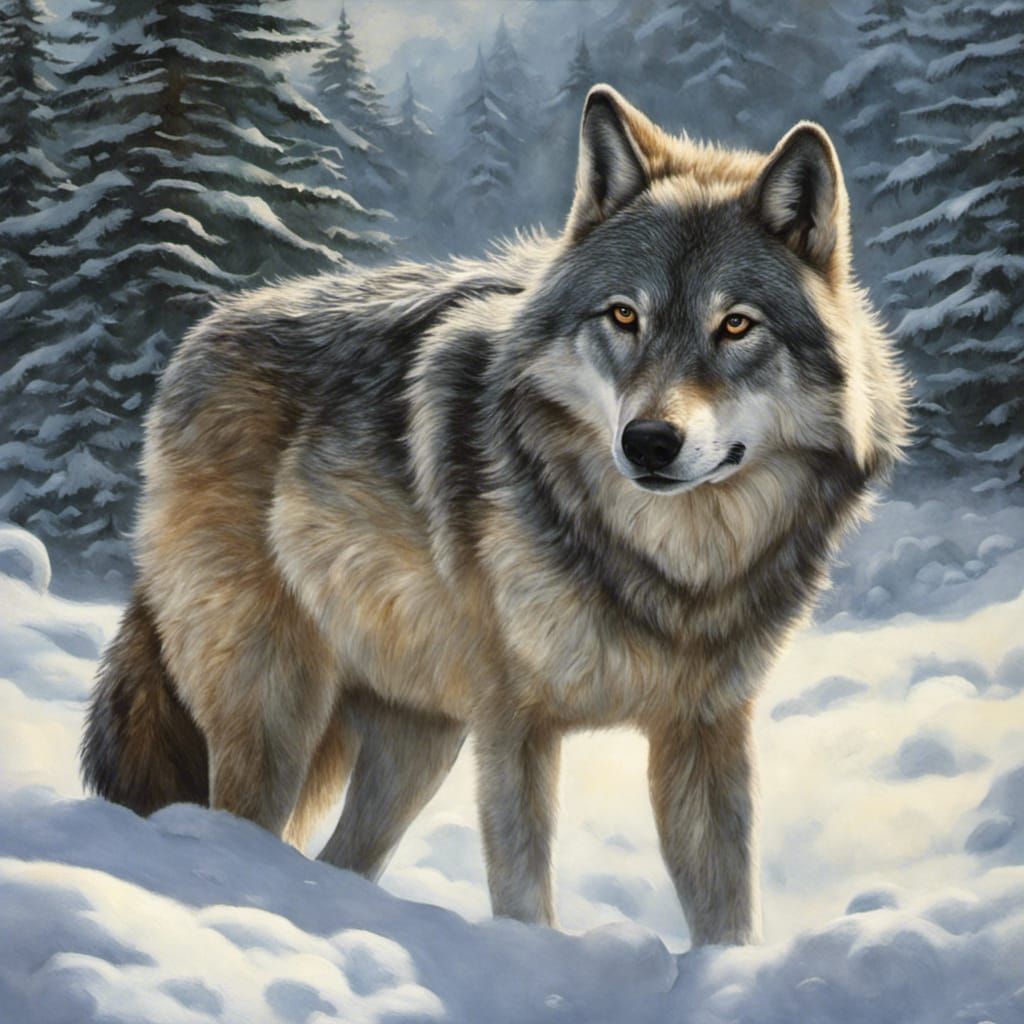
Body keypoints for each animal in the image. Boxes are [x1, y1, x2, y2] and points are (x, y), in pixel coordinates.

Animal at [81, 85, 909, 946]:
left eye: (736, 325)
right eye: (623, 317)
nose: (648, 441)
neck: (671, 568)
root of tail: (204, 334)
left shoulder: (706, 731)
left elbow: (727, 910)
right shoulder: (515, 726)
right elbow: (523, 892)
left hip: (419, 740)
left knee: (339, 860)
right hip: (279, 715)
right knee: (245, 829)